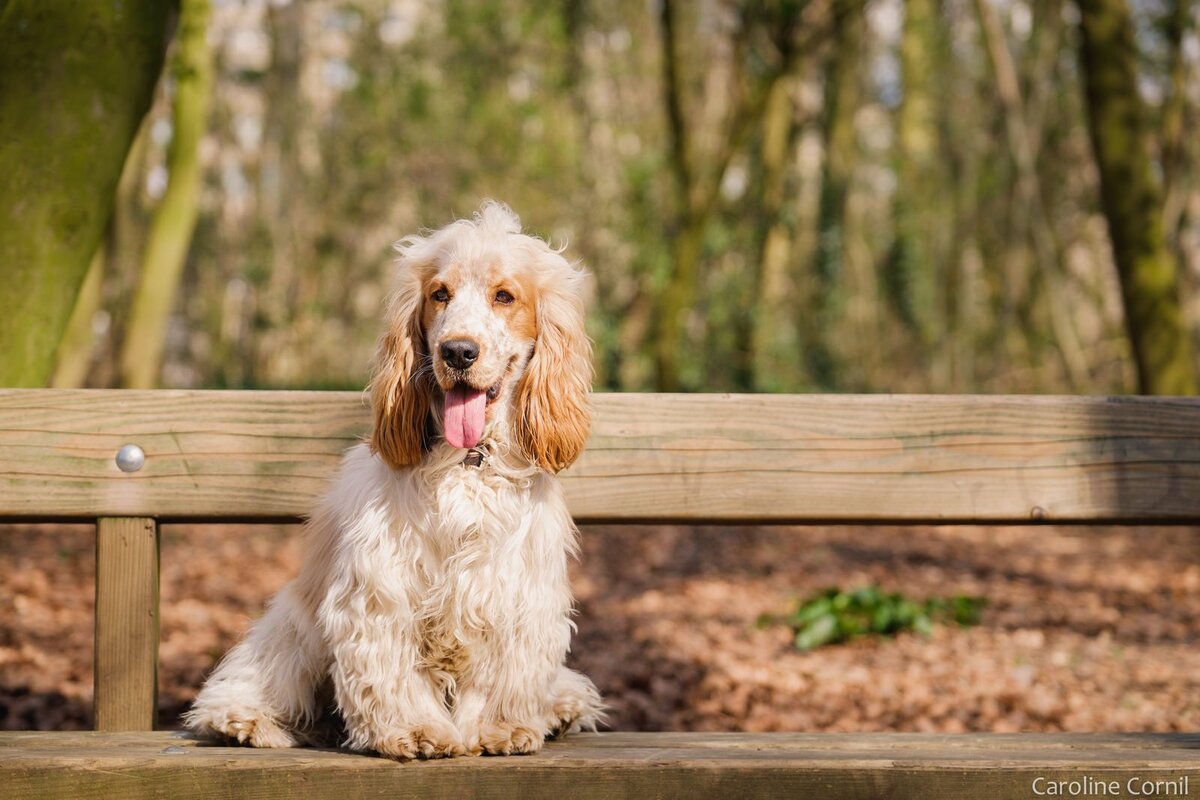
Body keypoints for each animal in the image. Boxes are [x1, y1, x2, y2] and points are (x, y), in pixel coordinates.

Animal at [183, 200, 604, 758]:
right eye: (440, 294)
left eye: (504, 296)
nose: (458, 351)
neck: (466, 463)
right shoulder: (381, 589)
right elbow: (392, 672)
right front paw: (416, 730)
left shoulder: (515, 588)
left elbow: (502, 673)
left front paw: (501, 728)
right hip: (294, 630)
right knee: (255, 684)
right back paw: (246, 721)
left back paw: (561, 707)